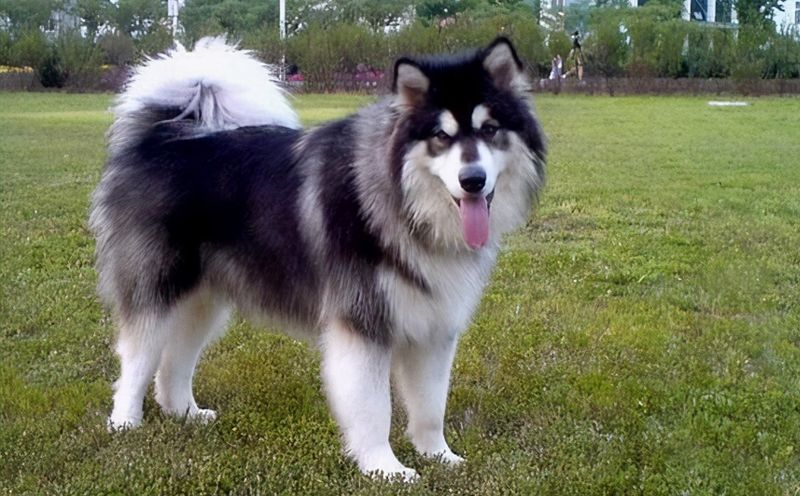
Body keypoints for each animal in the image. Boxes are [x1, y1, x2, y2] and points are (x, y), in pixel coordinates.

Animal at [90, 36, 545, 479]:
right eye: (441, 136)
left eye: (490, 129)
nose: (473, 181)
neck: (403, 209)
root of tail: (161, 137)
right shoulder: (362, 324)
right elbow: (375, 409)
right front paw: (385, 468)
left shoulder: (433, 326)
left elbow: (432, 406)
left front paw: (439, 457)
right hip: (158, 284)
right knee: (138, 356)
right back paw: (125, 422)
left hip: (202, 297)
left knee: (174, 360)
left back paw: (184, 412)